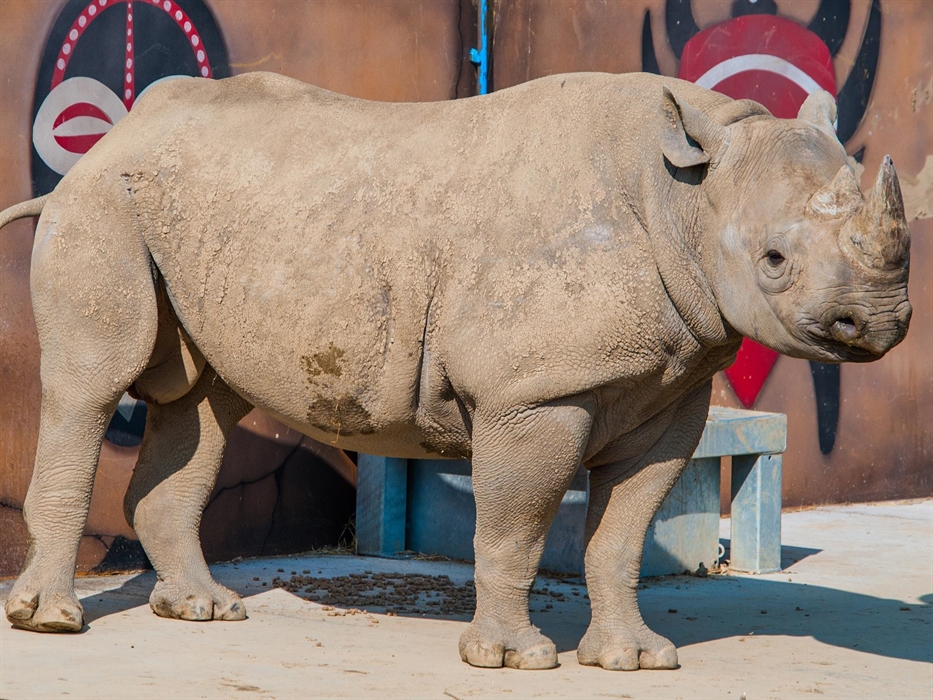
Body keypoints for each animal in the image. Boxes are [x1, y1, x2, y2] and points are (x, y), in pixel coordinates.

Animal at [0, 72, 910, 671]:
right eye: (773, 260)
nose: (875, 324)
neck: (685, 196)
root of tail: (105, 140)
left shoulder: (672, 391)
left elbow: (621, 533)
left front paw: (633, 660)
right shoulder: (533, 393)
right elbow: (515, 526)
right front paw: (513, 660)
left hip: (194, 217)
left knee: (204, 403)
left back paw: (202, 610)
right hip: (100, 203)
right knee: (90, 386)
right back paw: (52, 622)